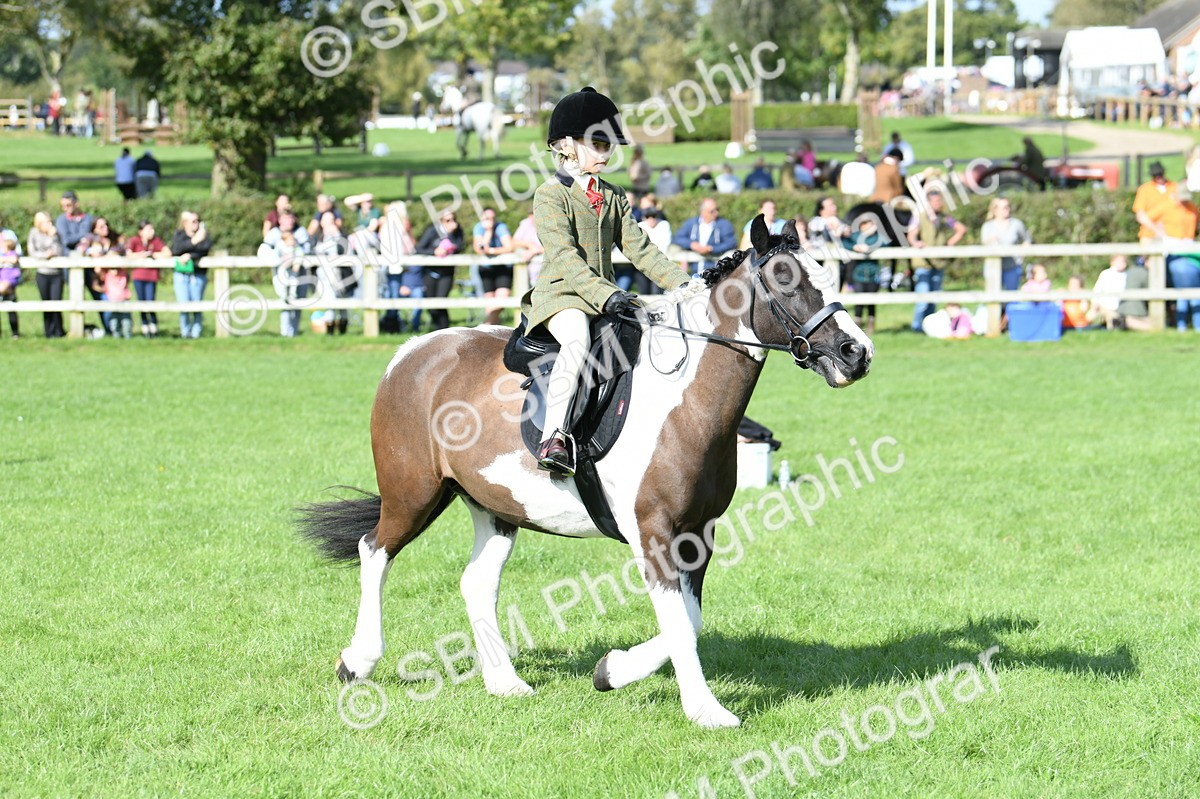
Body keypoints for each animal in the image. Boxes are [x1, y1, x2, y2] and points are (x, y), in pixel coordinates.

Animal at [299, 215, 874, 728]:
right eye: (788, 281)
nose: (857, 353)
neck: (682, 399)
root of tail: (412, 352)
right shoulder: (655, 533)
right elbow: (679, 623)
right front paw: (706, 711)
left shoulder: (697, 534)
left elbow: (689, 619)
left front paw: (611, 670)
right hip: (413, 494)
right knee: (375, 551)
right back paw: (358, 661)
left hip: (495, 506)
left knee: (476, 581)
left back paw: (504, 682)